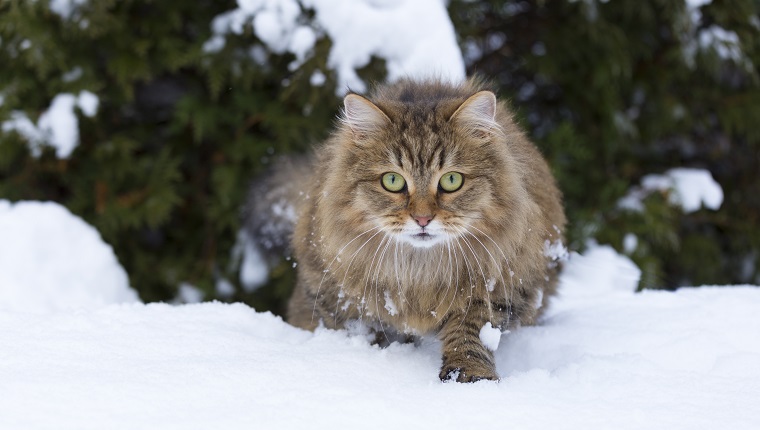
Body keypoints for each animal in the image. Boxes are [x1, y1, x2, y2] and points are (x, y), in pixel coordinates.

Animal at [246, 78, 568, 382]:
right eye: (392, 181)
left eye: (451, 180)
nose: (422, 219)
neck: (420, 272)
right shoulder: (340, 299)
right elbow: (368, 332)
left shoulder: (499, 286)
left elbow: (470, 333)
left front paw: (470, 375)